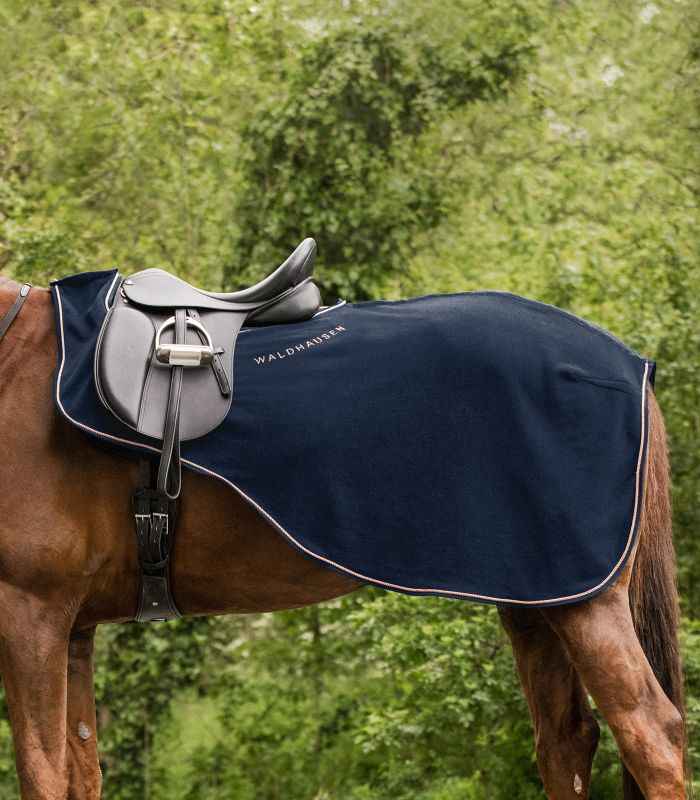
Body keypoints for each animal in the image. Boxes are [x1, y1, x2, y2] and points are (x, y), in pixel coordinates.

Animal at [0, 276, 689, 800]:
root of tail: (629, 366)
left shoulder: (31, 613)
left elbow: (41, 773)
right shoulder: (72, 627)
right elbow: (78, 772)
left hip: (587, 604)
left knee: (652, 736)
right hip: (537, 600)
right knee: (566, 741)